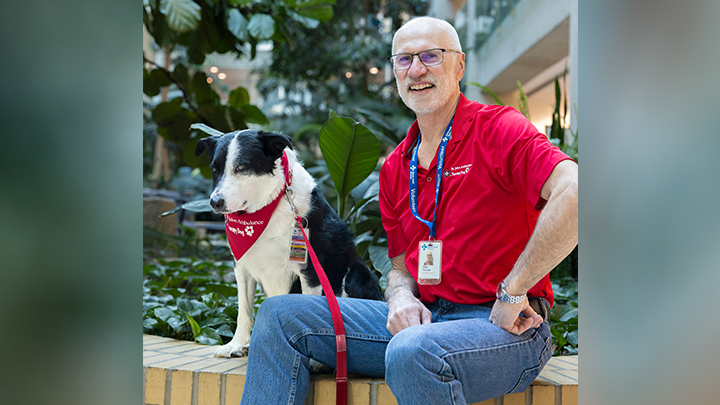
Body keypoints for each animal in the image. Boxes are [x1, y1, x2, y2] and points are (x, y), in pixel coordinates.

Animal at [191, 129, 382, 356]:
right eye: (214, 169)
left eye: (242, 167)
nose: (215, 202)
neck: (271, 203)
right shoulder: (242, 264)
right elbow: (244, 311)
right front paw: (236, 344)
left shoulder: (310, 269)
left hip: (356, 274)